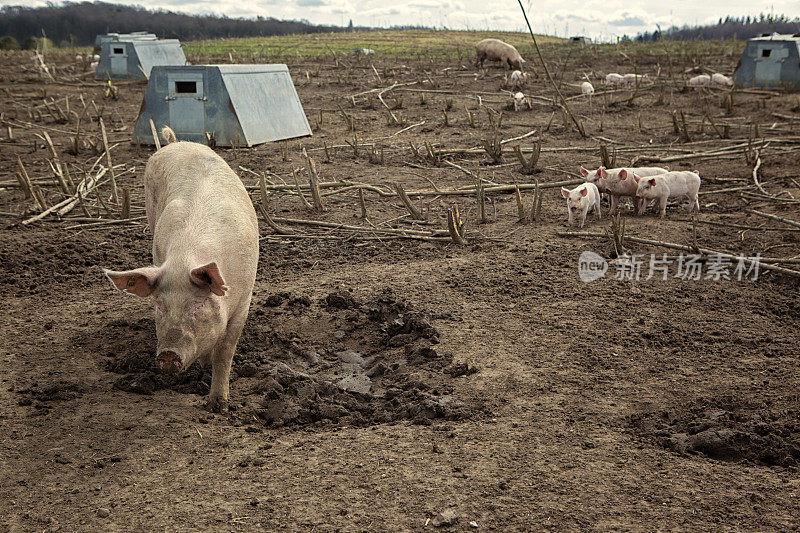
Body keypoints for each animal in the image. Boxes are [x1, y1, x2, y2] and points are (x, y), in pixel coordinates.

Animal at [104, 125, 260, 412]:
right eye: (158, 305)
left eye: (197, 305)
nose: (167, 355)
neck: (184, 259)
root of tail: (175, 144)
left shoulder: (244, 298)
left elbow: (225, 351)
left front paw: (219, 406)